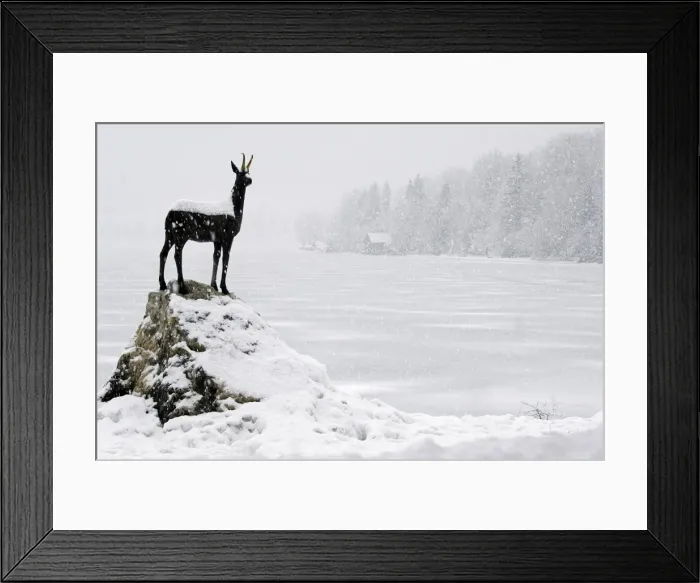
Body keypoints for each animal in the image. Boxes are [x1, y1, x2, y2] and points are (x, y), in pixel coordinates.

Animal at [159, 153, 253, 295]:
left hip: (169, 233)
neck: (233, 209)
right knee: (177, 255)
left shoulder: (217, 239)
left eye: (248, 172)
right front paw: (225, 288)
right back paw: (182, 286)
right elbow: (226, 259)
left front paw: (214, 286)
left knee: (163, 253)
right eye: (240, 173)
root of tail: (170, 213)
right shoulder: (228, 236)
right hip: (181, 233)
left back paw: (163, 285)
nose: (250, 180)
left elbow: (216, 257)